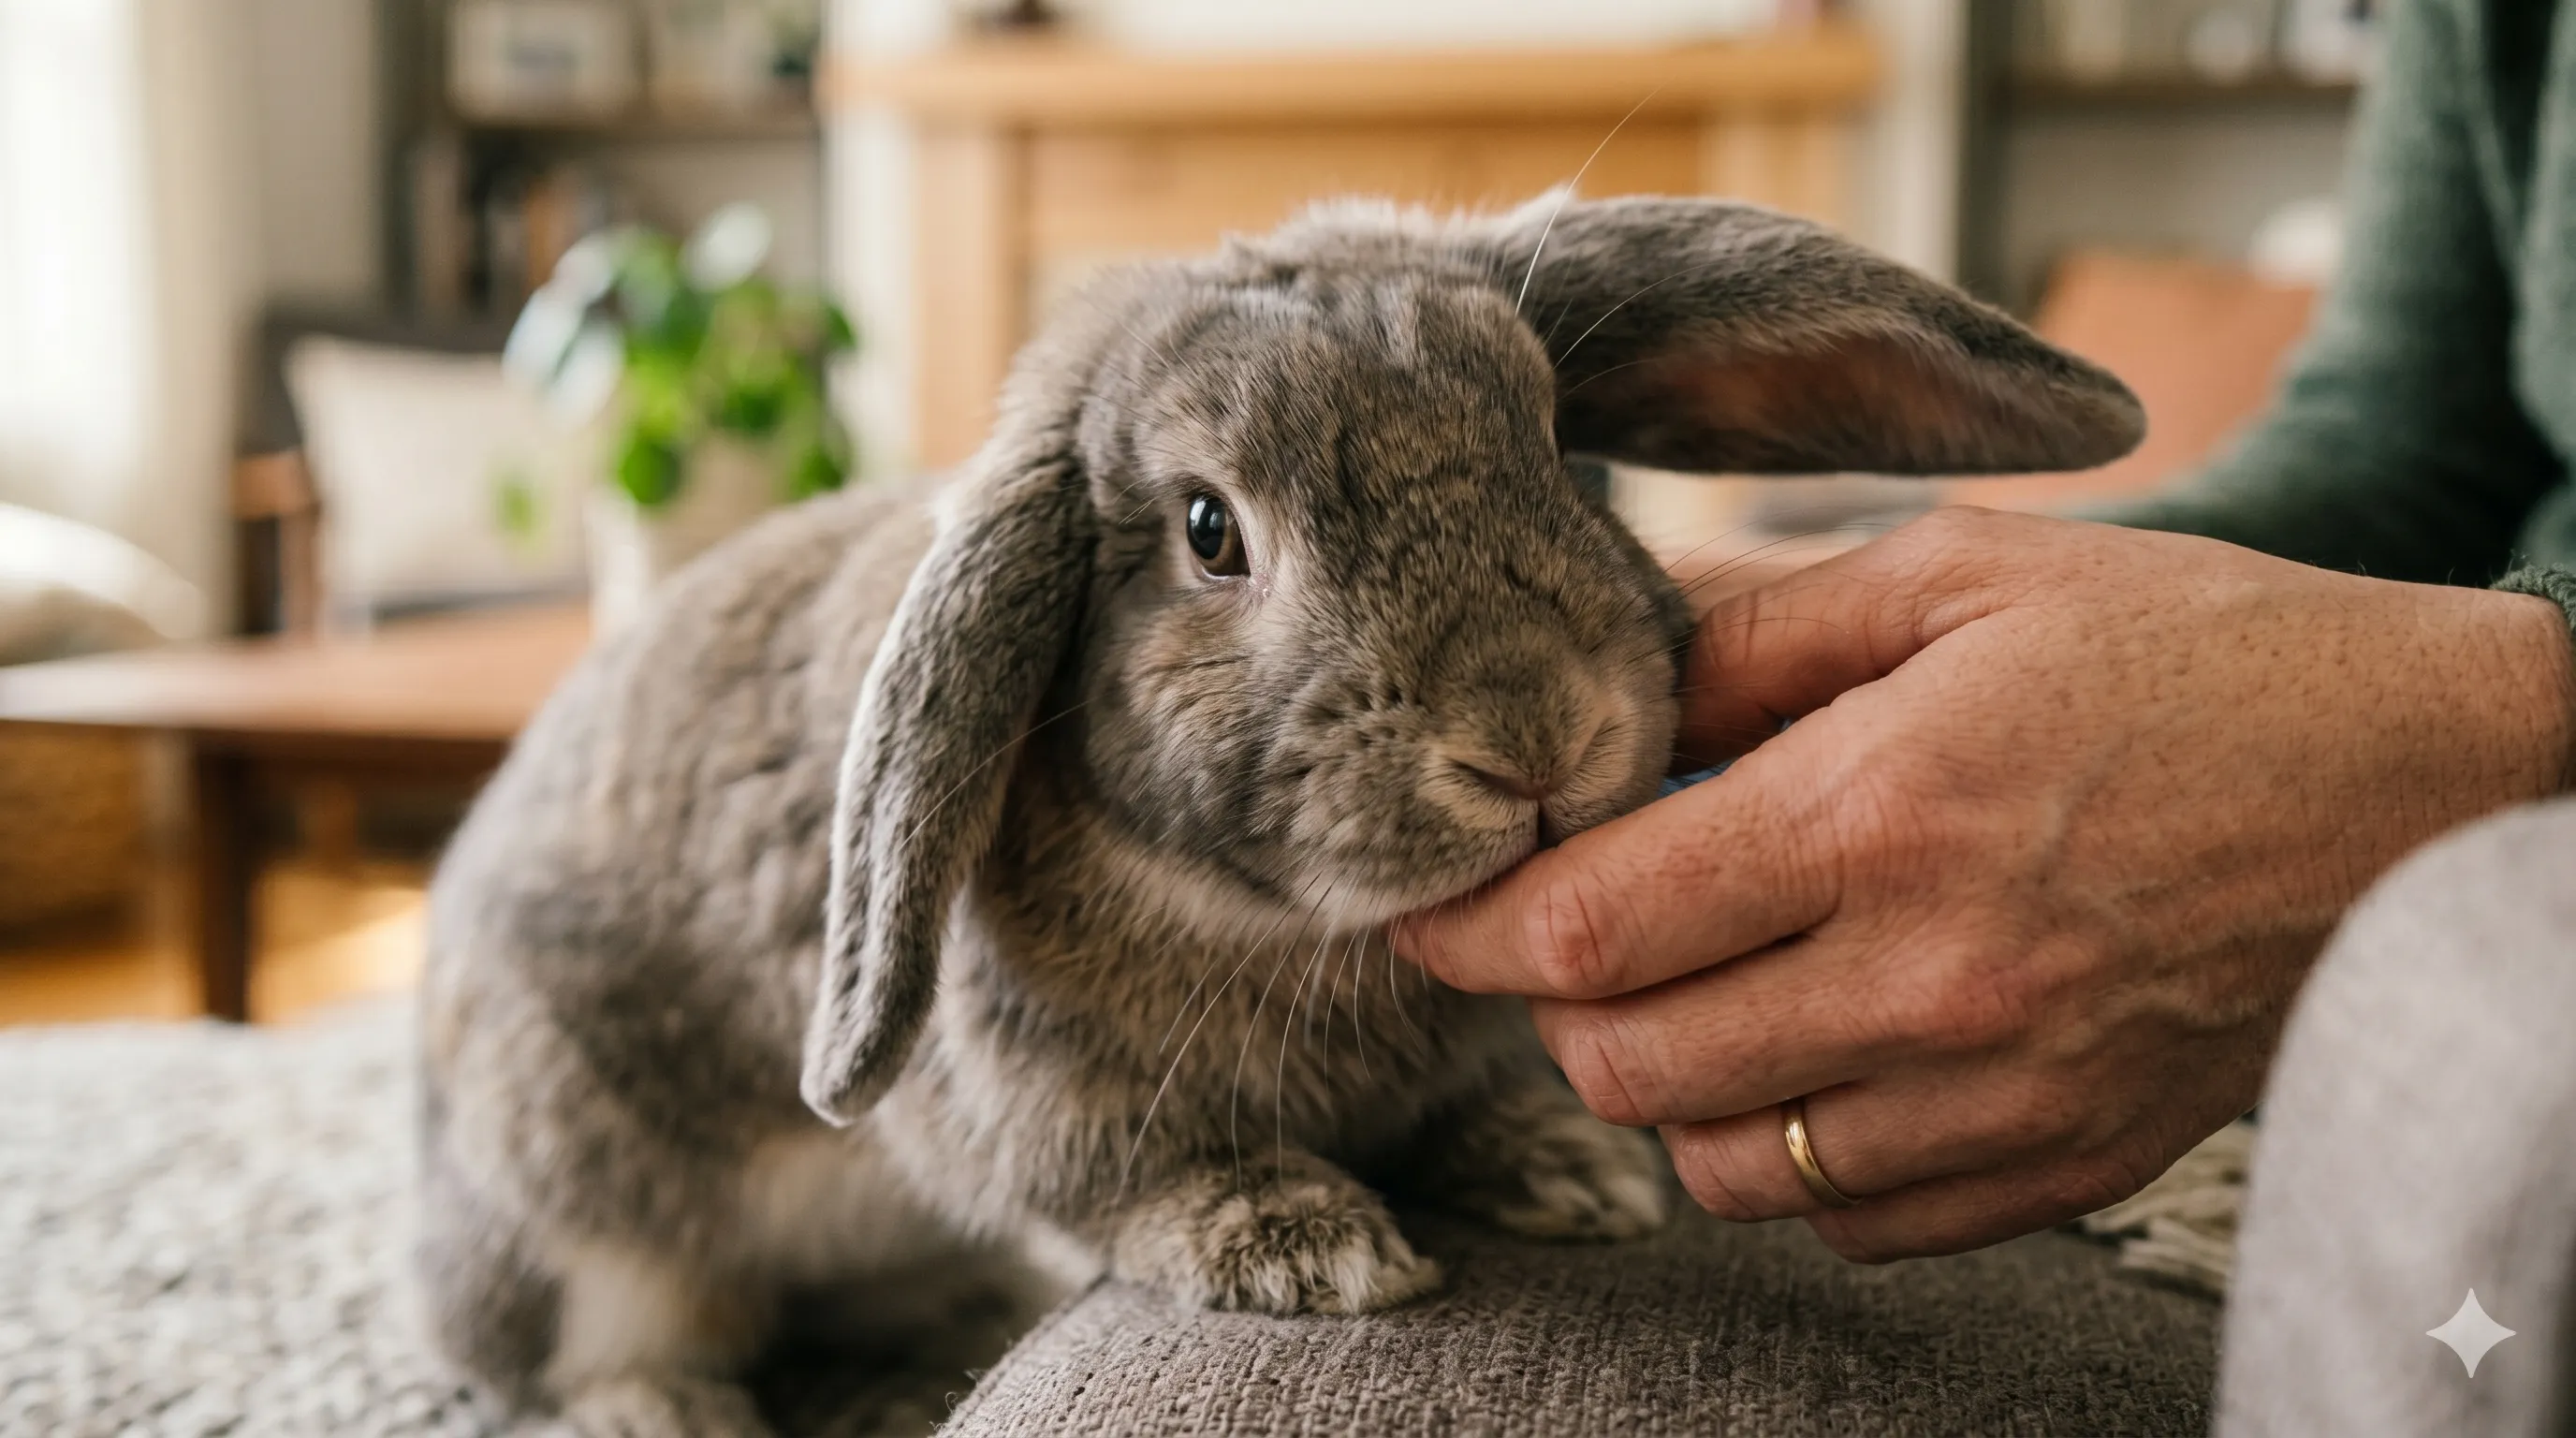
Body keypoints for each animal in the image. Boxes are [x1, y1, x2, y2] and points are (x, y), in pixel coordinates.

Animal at [415, 192, 2143, 1435]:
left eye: (1562, 454)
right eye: (1207, 530)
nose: (1533, 736)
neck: (1284, 924)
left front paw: (1569, 1172)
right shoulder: (1020, 1085)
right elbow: (1119, 1179)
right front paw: (1308, 1248)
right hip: (575, 1209)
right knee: (585, 1349)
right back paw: (666, 1412)